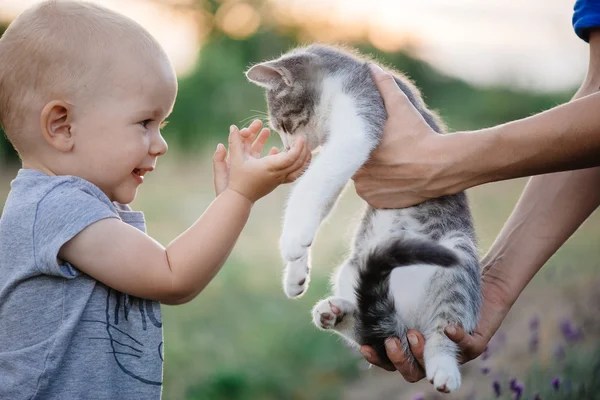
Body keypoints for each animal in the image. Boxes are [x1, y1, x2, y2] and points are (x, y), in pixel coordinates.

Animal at [246, 45, 480, 392]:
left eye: (283, 126)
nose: (288, 148)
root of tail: (407, 322)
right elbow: (321, 194)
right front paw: (296, 271)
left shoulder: (360, 118)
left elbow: (313, 183)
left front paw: (292, 241)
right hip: (355, 266)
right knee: (374, 333)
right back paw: (340, 314)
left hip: (457, 254)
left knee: (445, 327)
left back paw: (443, 366)